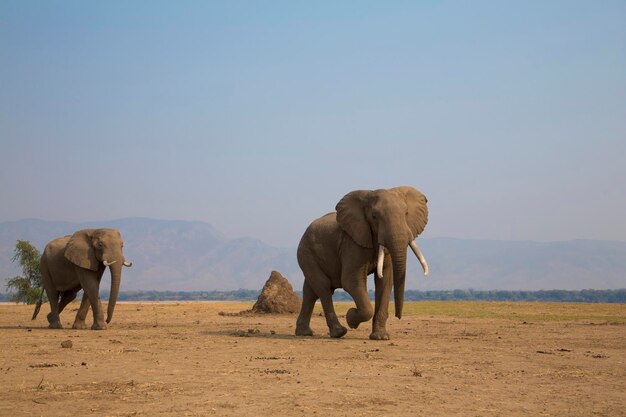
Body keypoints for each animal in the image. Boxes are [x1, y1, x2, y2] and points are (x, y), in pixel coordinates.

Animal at [294, 187, 426, 340]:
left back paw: (304, 333)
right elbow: (351, 281)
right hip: (306, 253)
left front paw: (381, 337)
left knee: (310, 291)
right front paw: (351, 318)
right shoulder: (352, 243)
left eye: (406, 213)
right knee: (323, 287)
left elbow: (385, 281)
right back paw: (339, 332)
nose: (398, 316)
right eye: (374, 216)